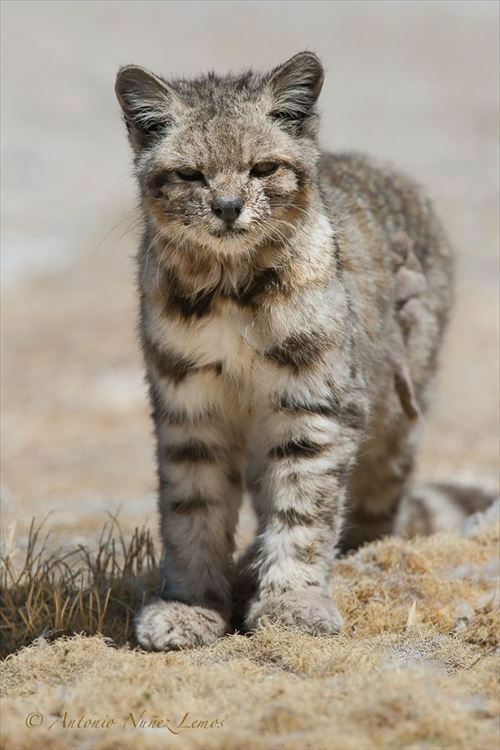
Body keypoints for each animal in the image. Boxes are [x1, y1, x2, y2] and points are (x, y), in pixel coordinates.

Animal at [115, 53, 494, 652]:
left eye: (262, 168)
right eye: (190, 175)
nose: (227, 207)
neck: (231, 289)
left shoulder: (313, 404)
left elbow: (303, 510)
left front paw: (292, 602)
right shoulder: (188, 407)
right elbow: (191, 512)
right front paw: (191, 606)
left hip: (396, 417)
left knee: (377, 501)